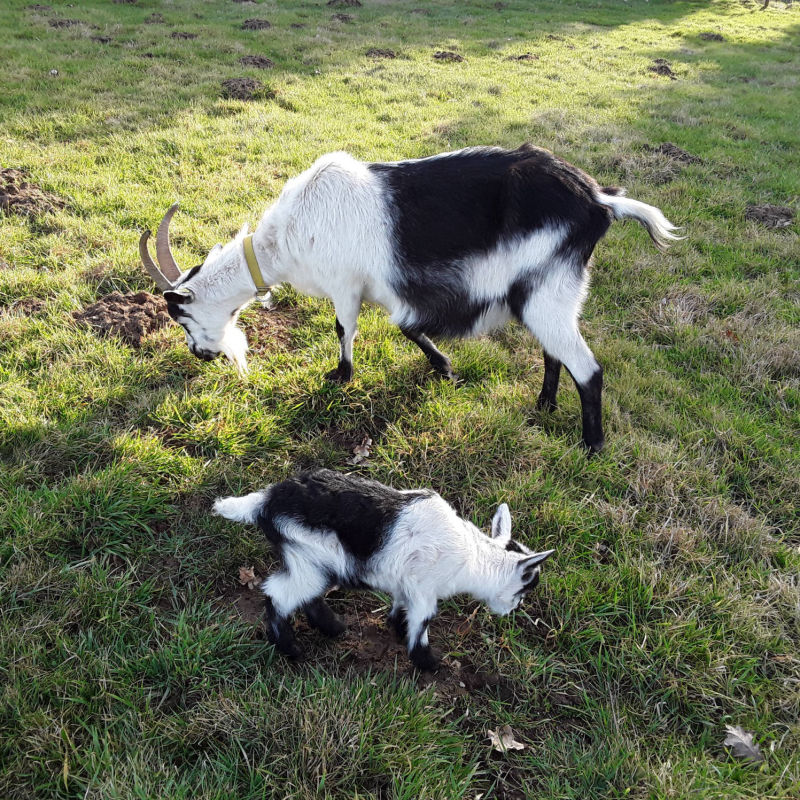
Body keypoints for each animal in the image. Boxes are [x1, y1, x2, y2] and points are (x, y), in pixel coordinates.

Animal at [141, 143, 680, 450]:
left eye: (181, 316)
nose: (201, 354)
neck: (287, 237)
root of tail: (599, 200)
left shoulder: (345, 284)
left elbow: (346, 328)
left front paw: (341, 378)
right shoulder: (381, 287)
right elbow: (405, 327)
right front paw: (444, 367)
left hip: (546, 291)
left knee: (587, 368)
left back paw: (591, 448)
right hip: (545, 291)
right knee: (555, 352)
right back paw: (543, 408)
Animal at [212, 466, 552, 672]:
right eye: (525, 587)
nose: (512, 610)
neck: (471, 558)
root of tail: (265, 500)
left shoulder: (407, 585)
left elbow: (401, 609)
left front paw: (398, 631)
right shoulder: (424, 590)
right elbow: (422, 623)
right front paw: (428, 663)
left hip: (307, 560)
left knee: (305, 595)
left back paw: (333, 628)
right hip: (308, 556)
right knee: (278, 596)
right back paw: (291, 648)